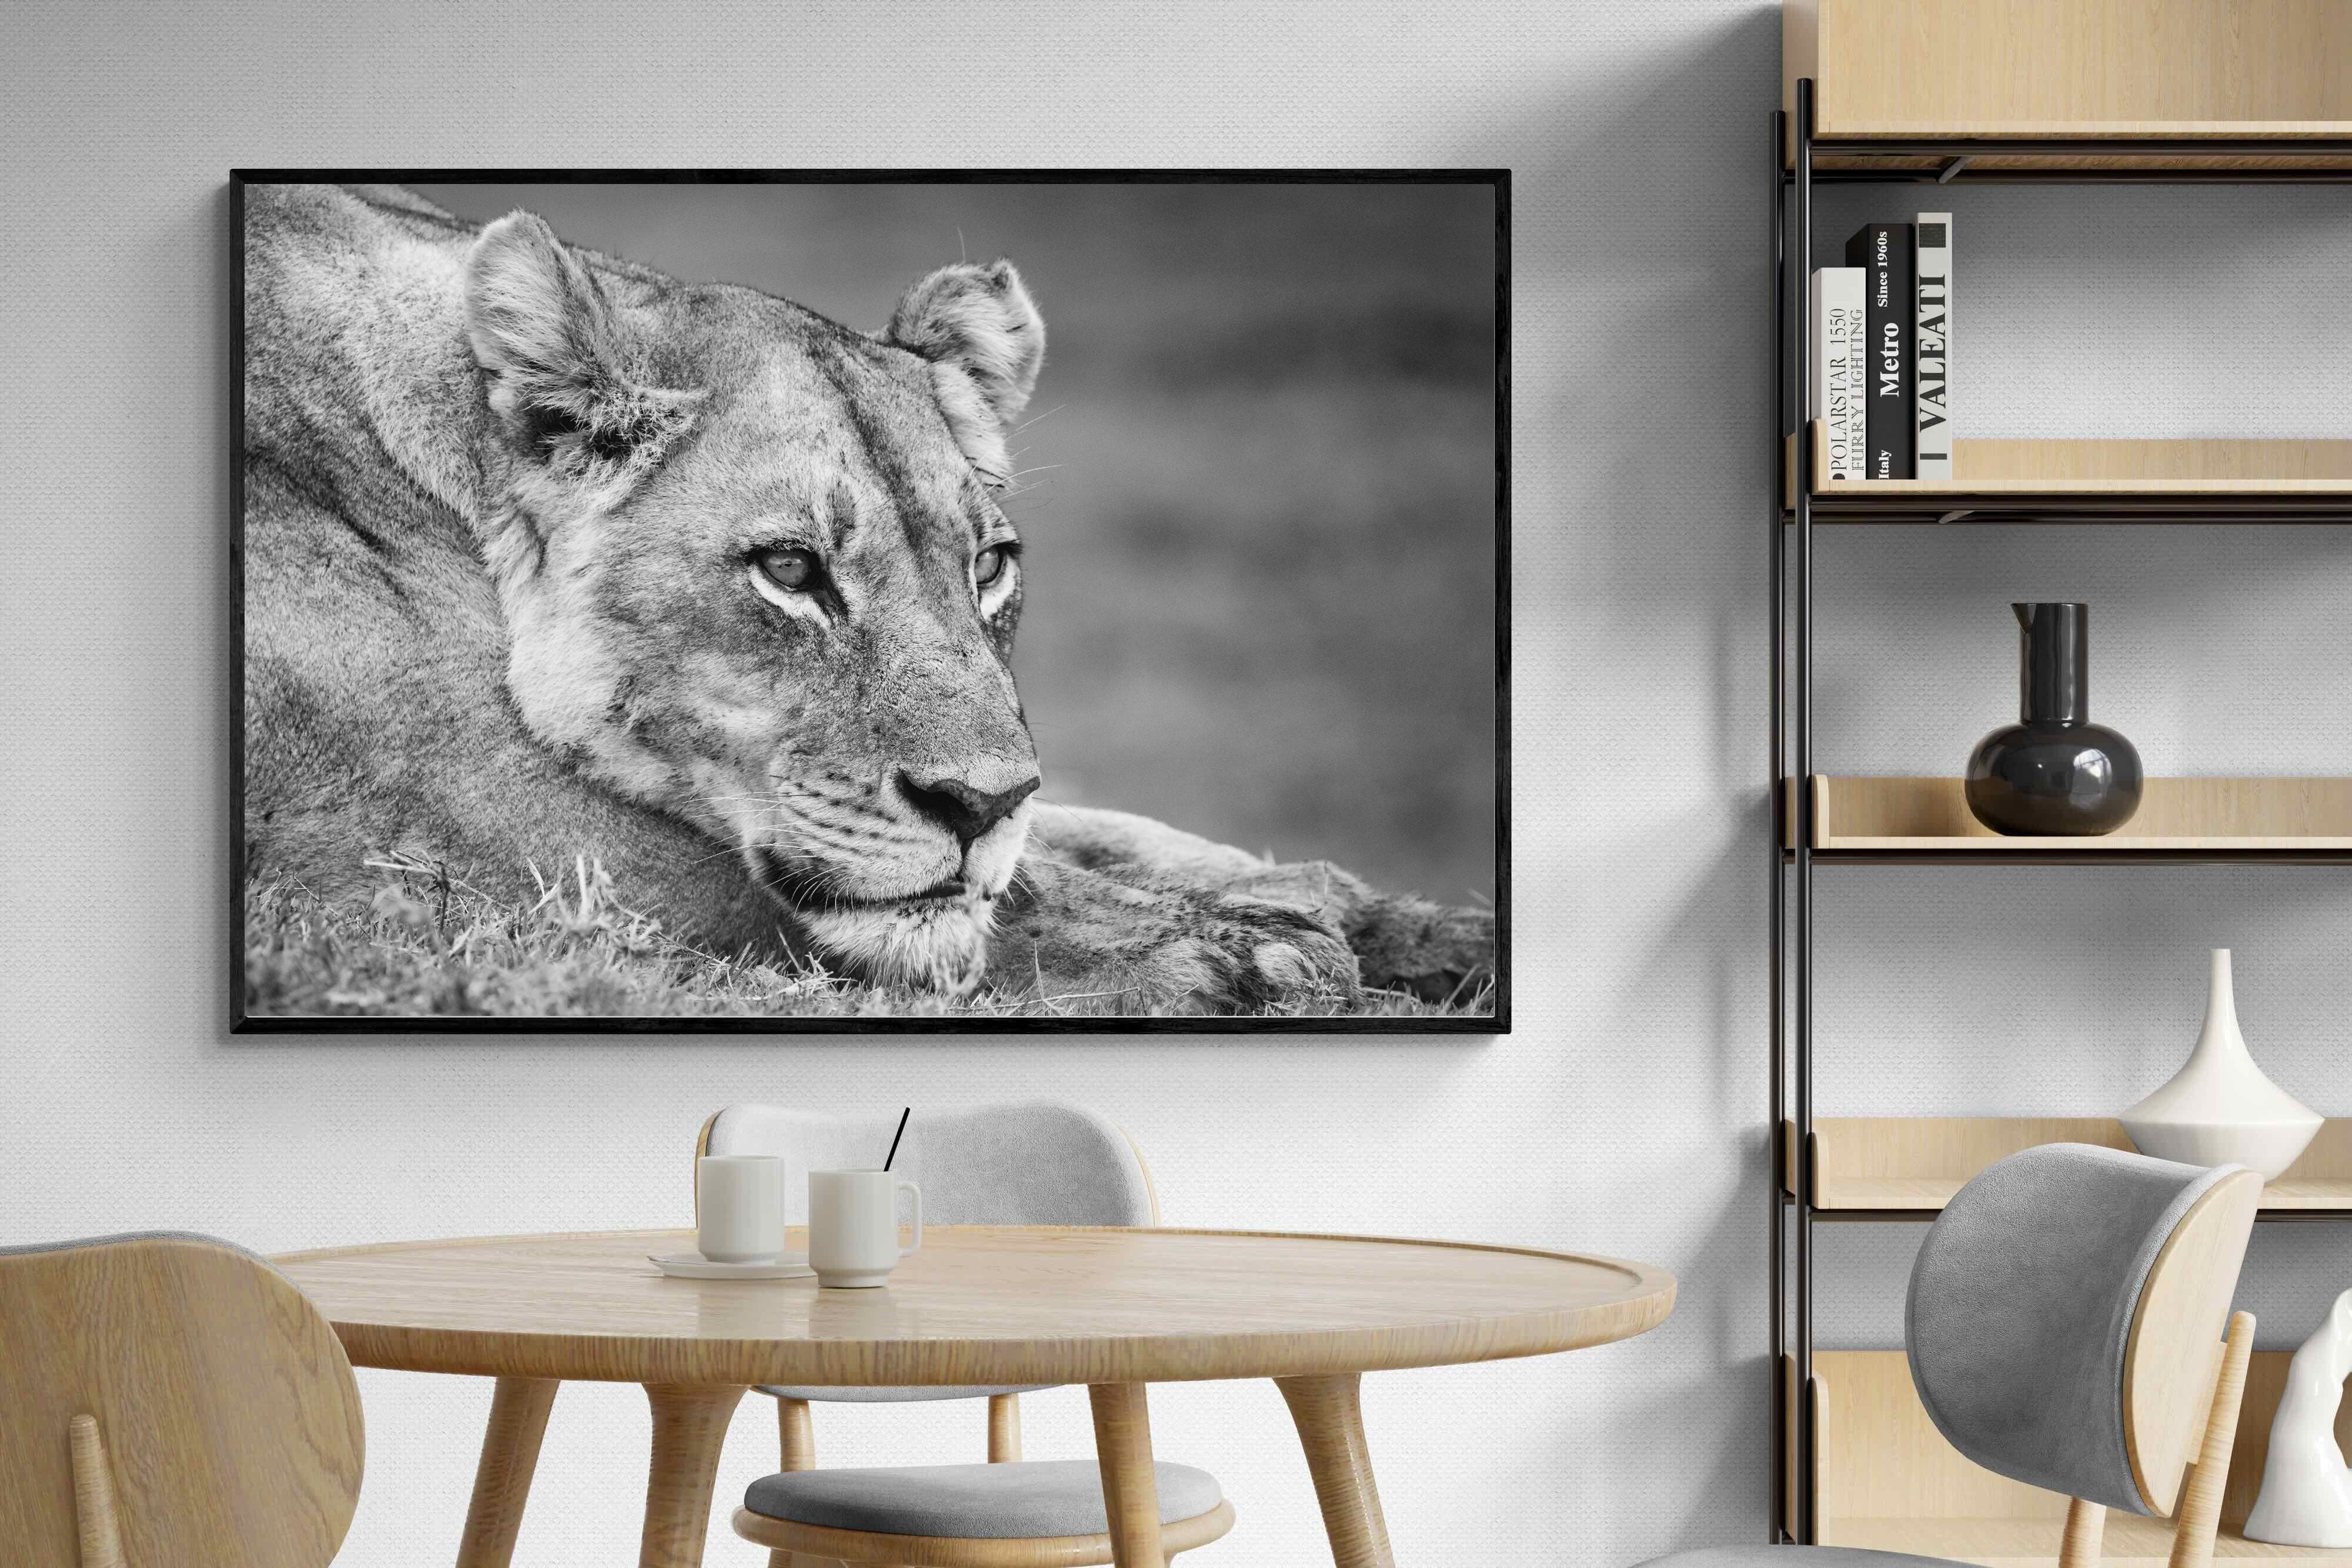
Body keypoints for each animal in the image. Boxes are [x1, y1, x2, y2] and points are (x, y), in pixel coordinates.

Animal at [241, 183, 1494, 1015]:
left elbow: (1103, 833)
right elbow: (986, 899)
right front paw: (1257, 953)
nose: (977, 806)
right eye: (792, 571)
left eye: (988, 567)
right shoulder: (463, 838)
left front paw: (1402, 919)